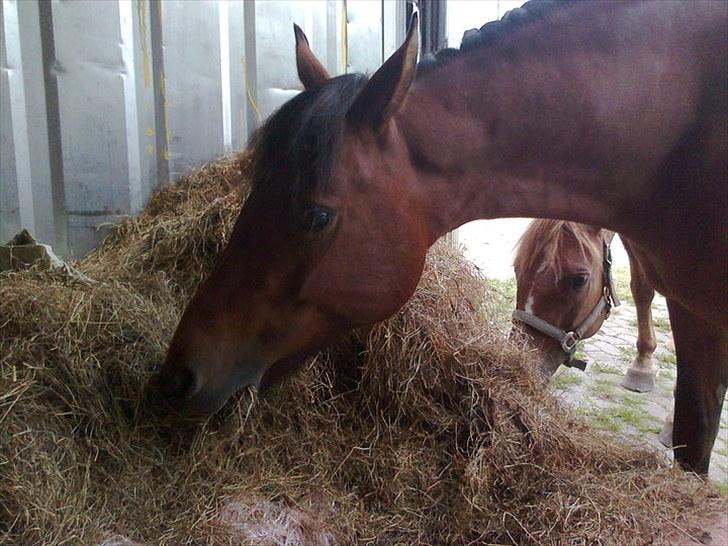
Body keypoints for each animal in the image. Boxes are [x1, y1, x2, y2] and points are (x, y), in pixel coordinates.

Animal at [159, 2, 728, 472]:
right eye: (516, 269)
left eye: (317, 216)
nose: (178, 375)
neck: (681, 130)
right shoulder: (691, 310)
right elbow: (694, 436)